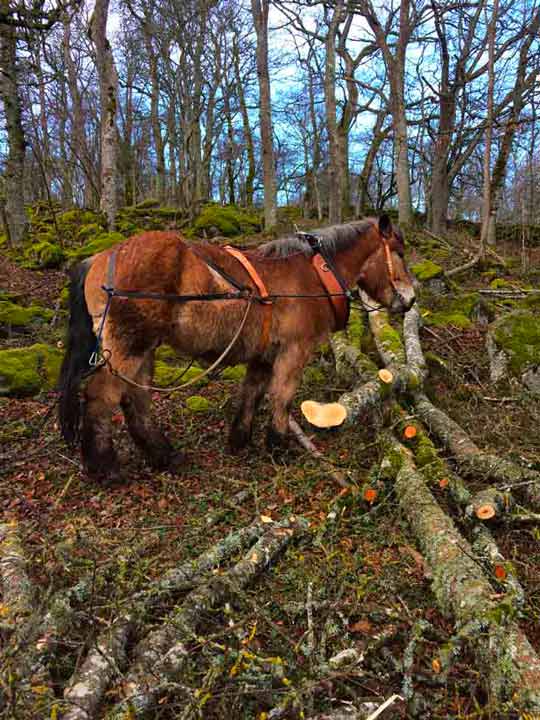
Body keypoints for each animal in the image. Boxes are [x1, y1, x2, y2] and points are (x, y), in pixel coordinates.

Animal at [58, 214, 414, 484]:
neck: (311, 276)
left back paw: (164, 455)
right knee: (101, 397)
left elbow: (251, 393)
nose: (411, 300)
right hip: (128, 347)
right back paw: (105, 467)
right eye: (399, 252)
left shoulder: (264, 356)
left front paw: (239, 439)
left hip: (144, 349)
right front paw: (277, 446)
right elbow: (281, 397)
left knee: (136, 398)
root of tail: (100, 257)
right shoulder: (294, 351)